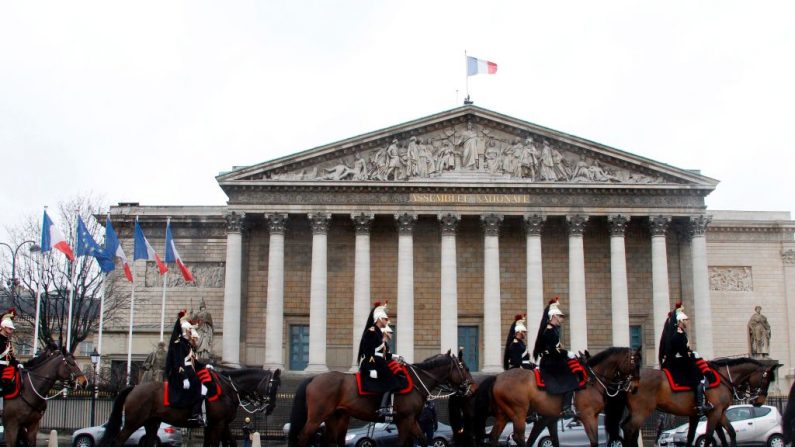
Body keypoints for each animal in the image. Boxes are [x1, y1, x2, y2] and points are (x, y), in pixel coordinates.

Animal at [98, 370, 282, 447]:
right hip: (133, 422)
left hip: (152, 423)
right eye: (272, 386)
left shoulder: (218, 425)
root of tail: (134, 387)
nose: (272, 407)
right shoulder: (218, 424)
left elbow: (229, 443)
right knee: (117, 442)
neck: (227, 389)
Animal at [290, 352, 476, 447]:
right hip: (317, 417)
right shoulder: (405, 420)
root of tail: (314, 377)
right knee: (303, 437)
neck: (416, 382)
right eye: (465, 368)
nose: (473, 388)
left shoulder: (410, 420)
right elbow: (401, 444)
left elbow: (422, 441)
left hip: (334, 417)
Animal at [486, 348, 640, 447]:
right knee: (517, 437)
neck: (591, 379)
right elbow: (594, 442)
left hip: (504, 414)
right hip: (518, 412)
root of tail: (498, 377)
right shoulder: (587, 415)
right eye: (634, 364)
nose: (634, 386)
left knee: (493, 437)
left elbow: (553, 440)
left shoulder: (552, 419)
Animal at [620, 358, 780, 447]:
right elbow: (709, 437)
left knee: (627, 428)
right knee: (629, 429)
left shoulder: (716, 413)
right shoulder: (714, 412)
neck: (723, 379)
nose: (759, 401)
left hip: (635, 411)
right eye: (766, 380)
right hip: (642, 411)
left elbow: (729, 434)